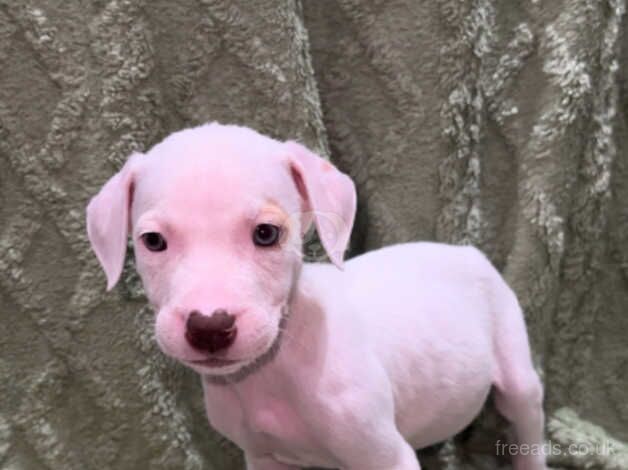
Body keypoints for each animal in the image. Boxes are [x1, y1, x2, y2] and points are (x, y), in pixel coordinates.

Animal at [87, 123, 544, 468]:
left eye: (266, 234)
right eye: (152, 241)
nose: (210, 325)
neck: (274, 370)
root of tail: (466, 251)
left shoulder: (386, 457)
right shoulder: (264, 458)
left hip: (517, 371)